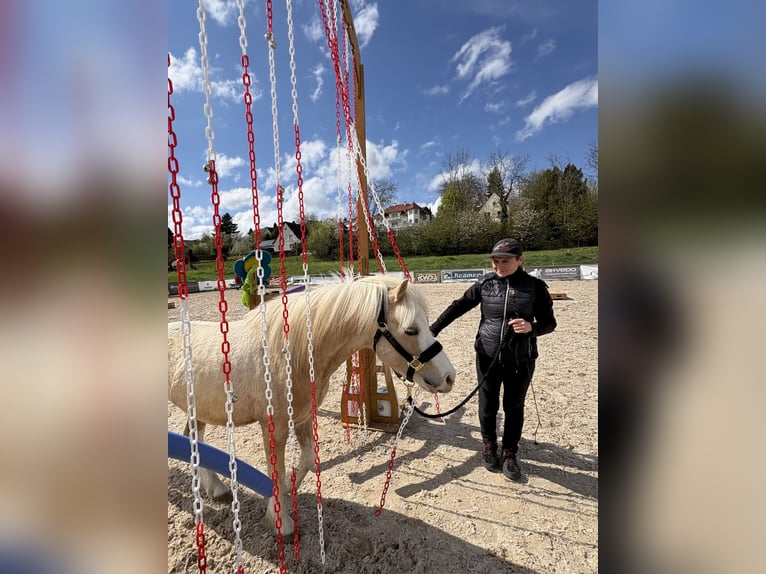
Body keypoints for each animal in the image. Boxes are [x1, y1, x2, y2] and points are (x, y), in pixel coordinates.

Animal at [168, 275, 456, 535]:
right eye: (411, 330)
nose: (449, 377)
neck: (288, 355)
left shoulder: (304, 418)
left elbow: (305, 460)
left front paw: (283, 494)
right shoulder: (275, 425)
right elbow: (276, 469)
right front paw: (281, 521)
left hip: (198, 410)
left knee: (193, 440)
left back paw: (215, 488)